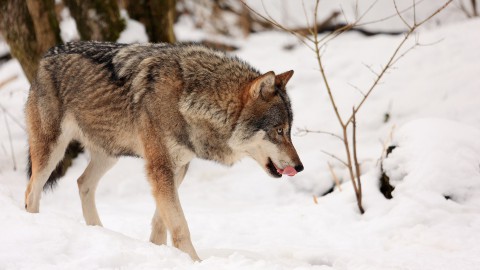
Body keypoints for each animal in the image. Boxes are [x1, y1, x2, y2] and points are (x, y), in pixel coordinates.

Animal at [24, 41, 304, 260]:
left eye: (289, 131)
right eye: (279, 131)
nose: (299, 167)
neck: (190, 101)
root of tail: (47, 55)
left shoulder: (177, 168)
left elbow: (161, 222)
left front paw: (158, 252)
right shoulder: (160, 168)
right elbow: (180, 226)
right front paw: (194, 262)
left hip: (109, 154)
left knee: (82, 183)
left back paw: (98, 231)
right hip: (52, 151)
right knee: (31, 191)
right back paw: (35, 223)